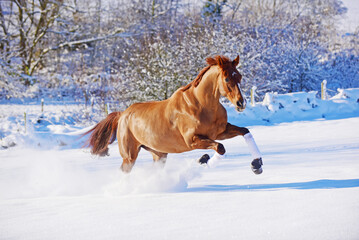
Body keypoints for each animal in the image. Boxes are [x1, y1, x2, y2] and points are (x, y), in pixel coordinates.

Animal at [86, 55, 262, 173]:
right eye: (226, 79)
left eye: (239, 76)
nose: (241, 103)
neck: (201, 105)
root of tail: (123, 114)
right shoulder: (193, 141)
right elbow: (220, 147)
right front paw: (202, 161)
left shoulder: (219, 132)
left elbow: (245, 131)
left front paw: (257, 164)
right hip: (130, 155)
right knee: (125, 170)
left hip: (159, 154)